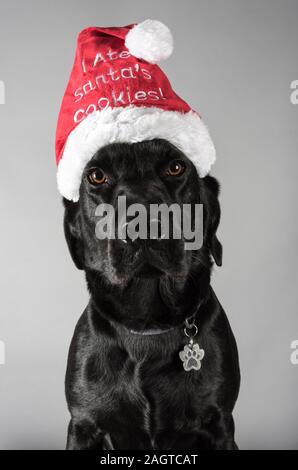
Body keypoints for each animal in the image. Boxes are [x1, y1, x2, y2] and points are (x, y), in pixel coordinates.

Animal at [62, 138, 240, 450]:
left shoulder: (220, 424)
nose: (143, 223)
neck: (148, 323)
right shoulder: (83, 424)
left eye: (176, 167)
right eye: (96, 175)